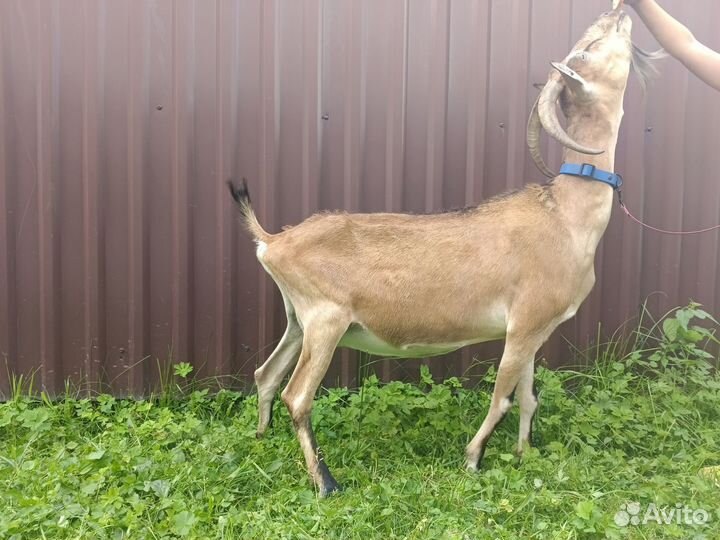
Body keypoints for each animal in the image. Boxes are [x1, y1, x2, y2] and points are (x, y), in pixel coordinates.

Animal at [230, 7, 650, 497]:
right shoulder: (524, 325)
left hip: (297, 320)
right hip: (325, 319)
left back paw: (261, 440)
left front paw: (523, 454)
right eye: (590, 47)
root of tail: (273, 241)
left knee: (266, 376)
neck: (564, 216)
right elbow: (502, 397)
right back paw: (327, 482)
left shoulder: (534, 328)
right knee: (297, 395)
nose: (620, 11)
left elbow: (528, 397)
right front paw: (472, 458)